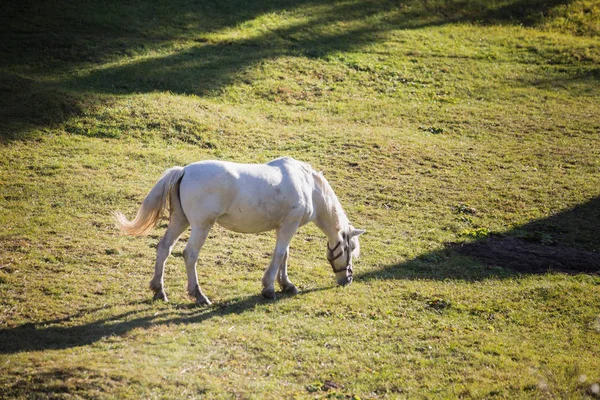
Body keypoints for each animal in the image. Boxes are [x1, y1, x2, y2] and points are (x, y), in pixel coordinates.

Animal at [114, 156, 364, 304]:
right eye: (350, 249)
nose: (348, 279)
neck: (308, 186)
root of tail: (184, 170)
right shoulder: (289, 225)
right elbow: (279, 255)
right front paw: (269, 288)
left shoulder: (284, 227)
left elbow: (284, 255)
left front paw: (287, 285)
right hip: (201, 225)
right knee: (190, 254)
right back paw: (199, 295)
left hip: (179, 220)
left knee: (164, 248)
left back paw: (159, 290)